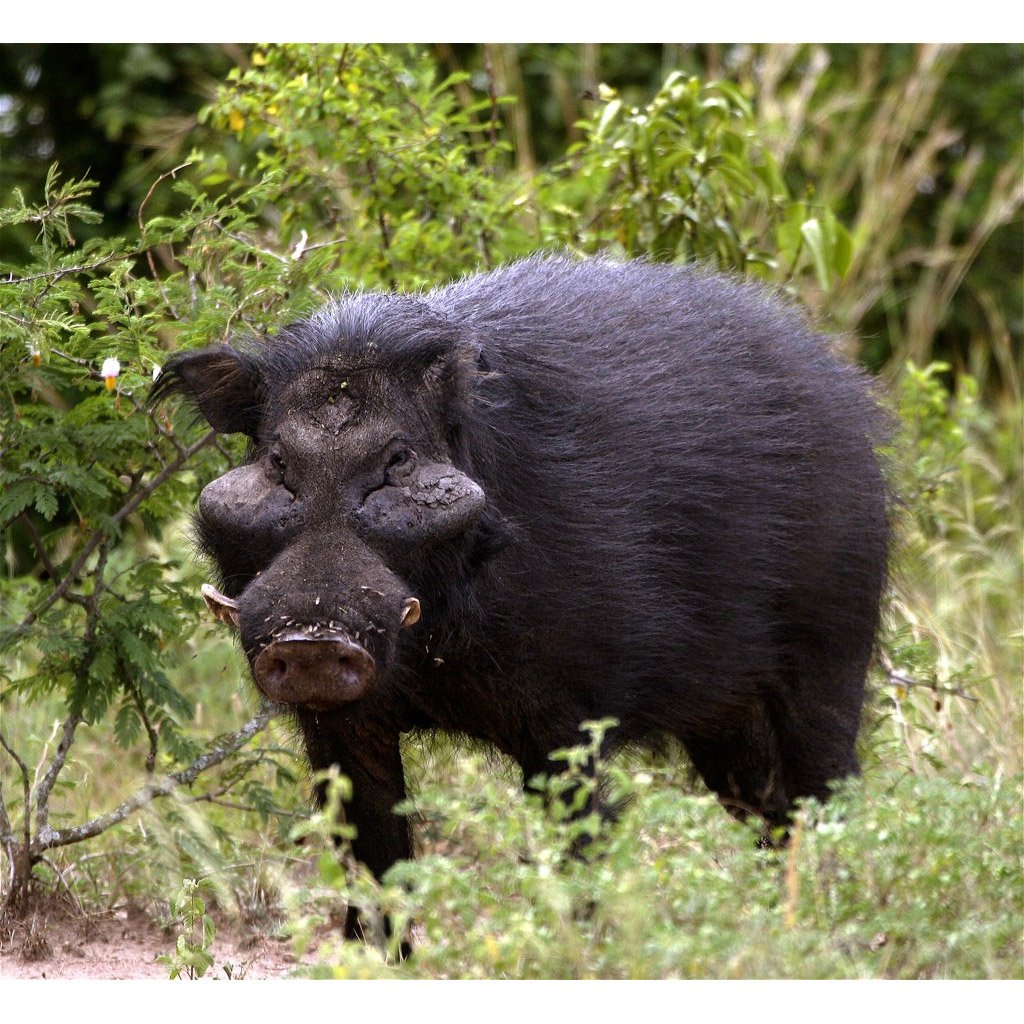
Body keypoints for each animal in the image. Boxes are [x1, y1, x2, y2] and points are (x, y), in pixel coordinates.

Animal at [154, 254, 889, 930]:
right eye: (277, 461)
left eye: (397, 460)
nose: (310, 638)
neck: (433, 653)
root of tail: (854, 400)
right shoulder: (339, 727)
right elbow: (378, 863)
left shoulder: (567, 722)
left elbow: (580, 850)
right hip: (722, 714)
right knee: (771, 812)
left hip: (833, 649)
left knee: (830, 792)